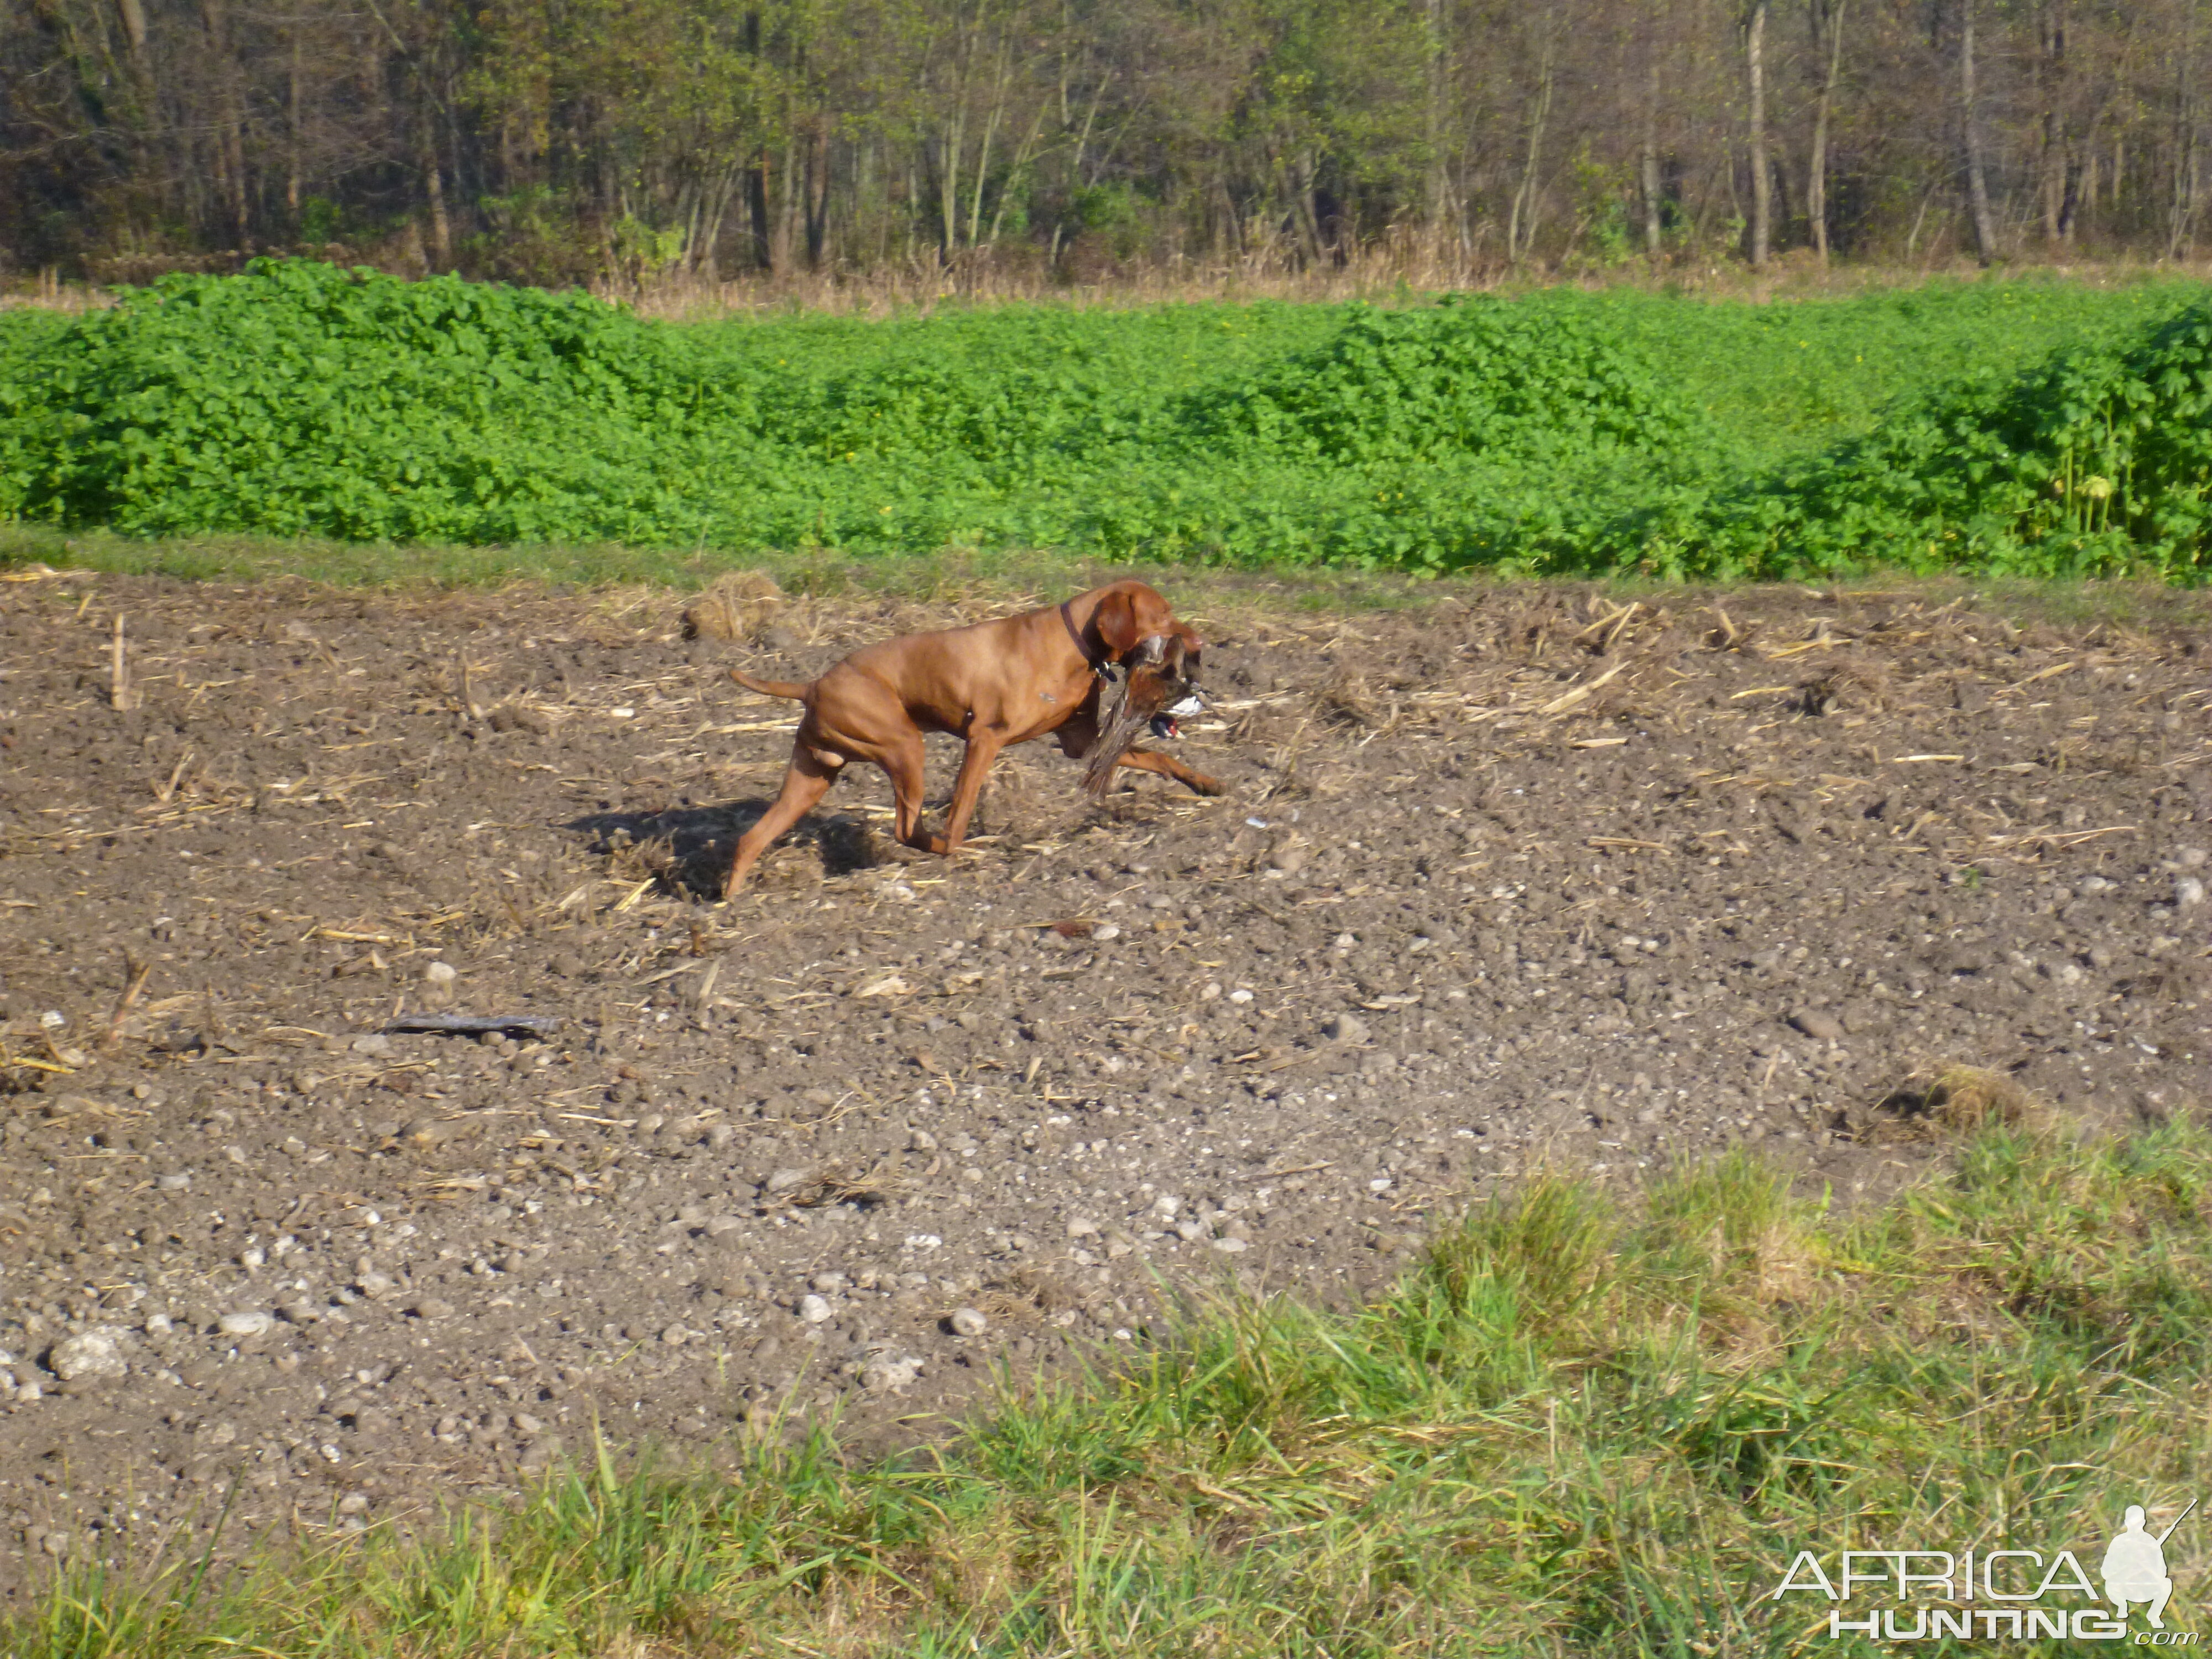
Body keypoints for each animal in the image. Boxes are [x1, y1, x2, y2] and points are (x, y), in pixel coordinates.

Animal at [717, 580, 1221, 902]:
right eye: (1163, 614)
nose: (1200, 641)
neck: (1073, 645)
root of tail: (813, 686)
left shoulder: (1084, 743)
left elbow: (1151, 756)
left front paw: (1204, 783)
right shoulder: (983, 739)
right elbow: (961, 809)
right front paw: (959, 846)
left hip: (812, 777)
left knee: (750, 839)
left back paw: (731, 901)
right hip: (905, 748)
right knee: (907, 828)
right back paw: (949, 849)